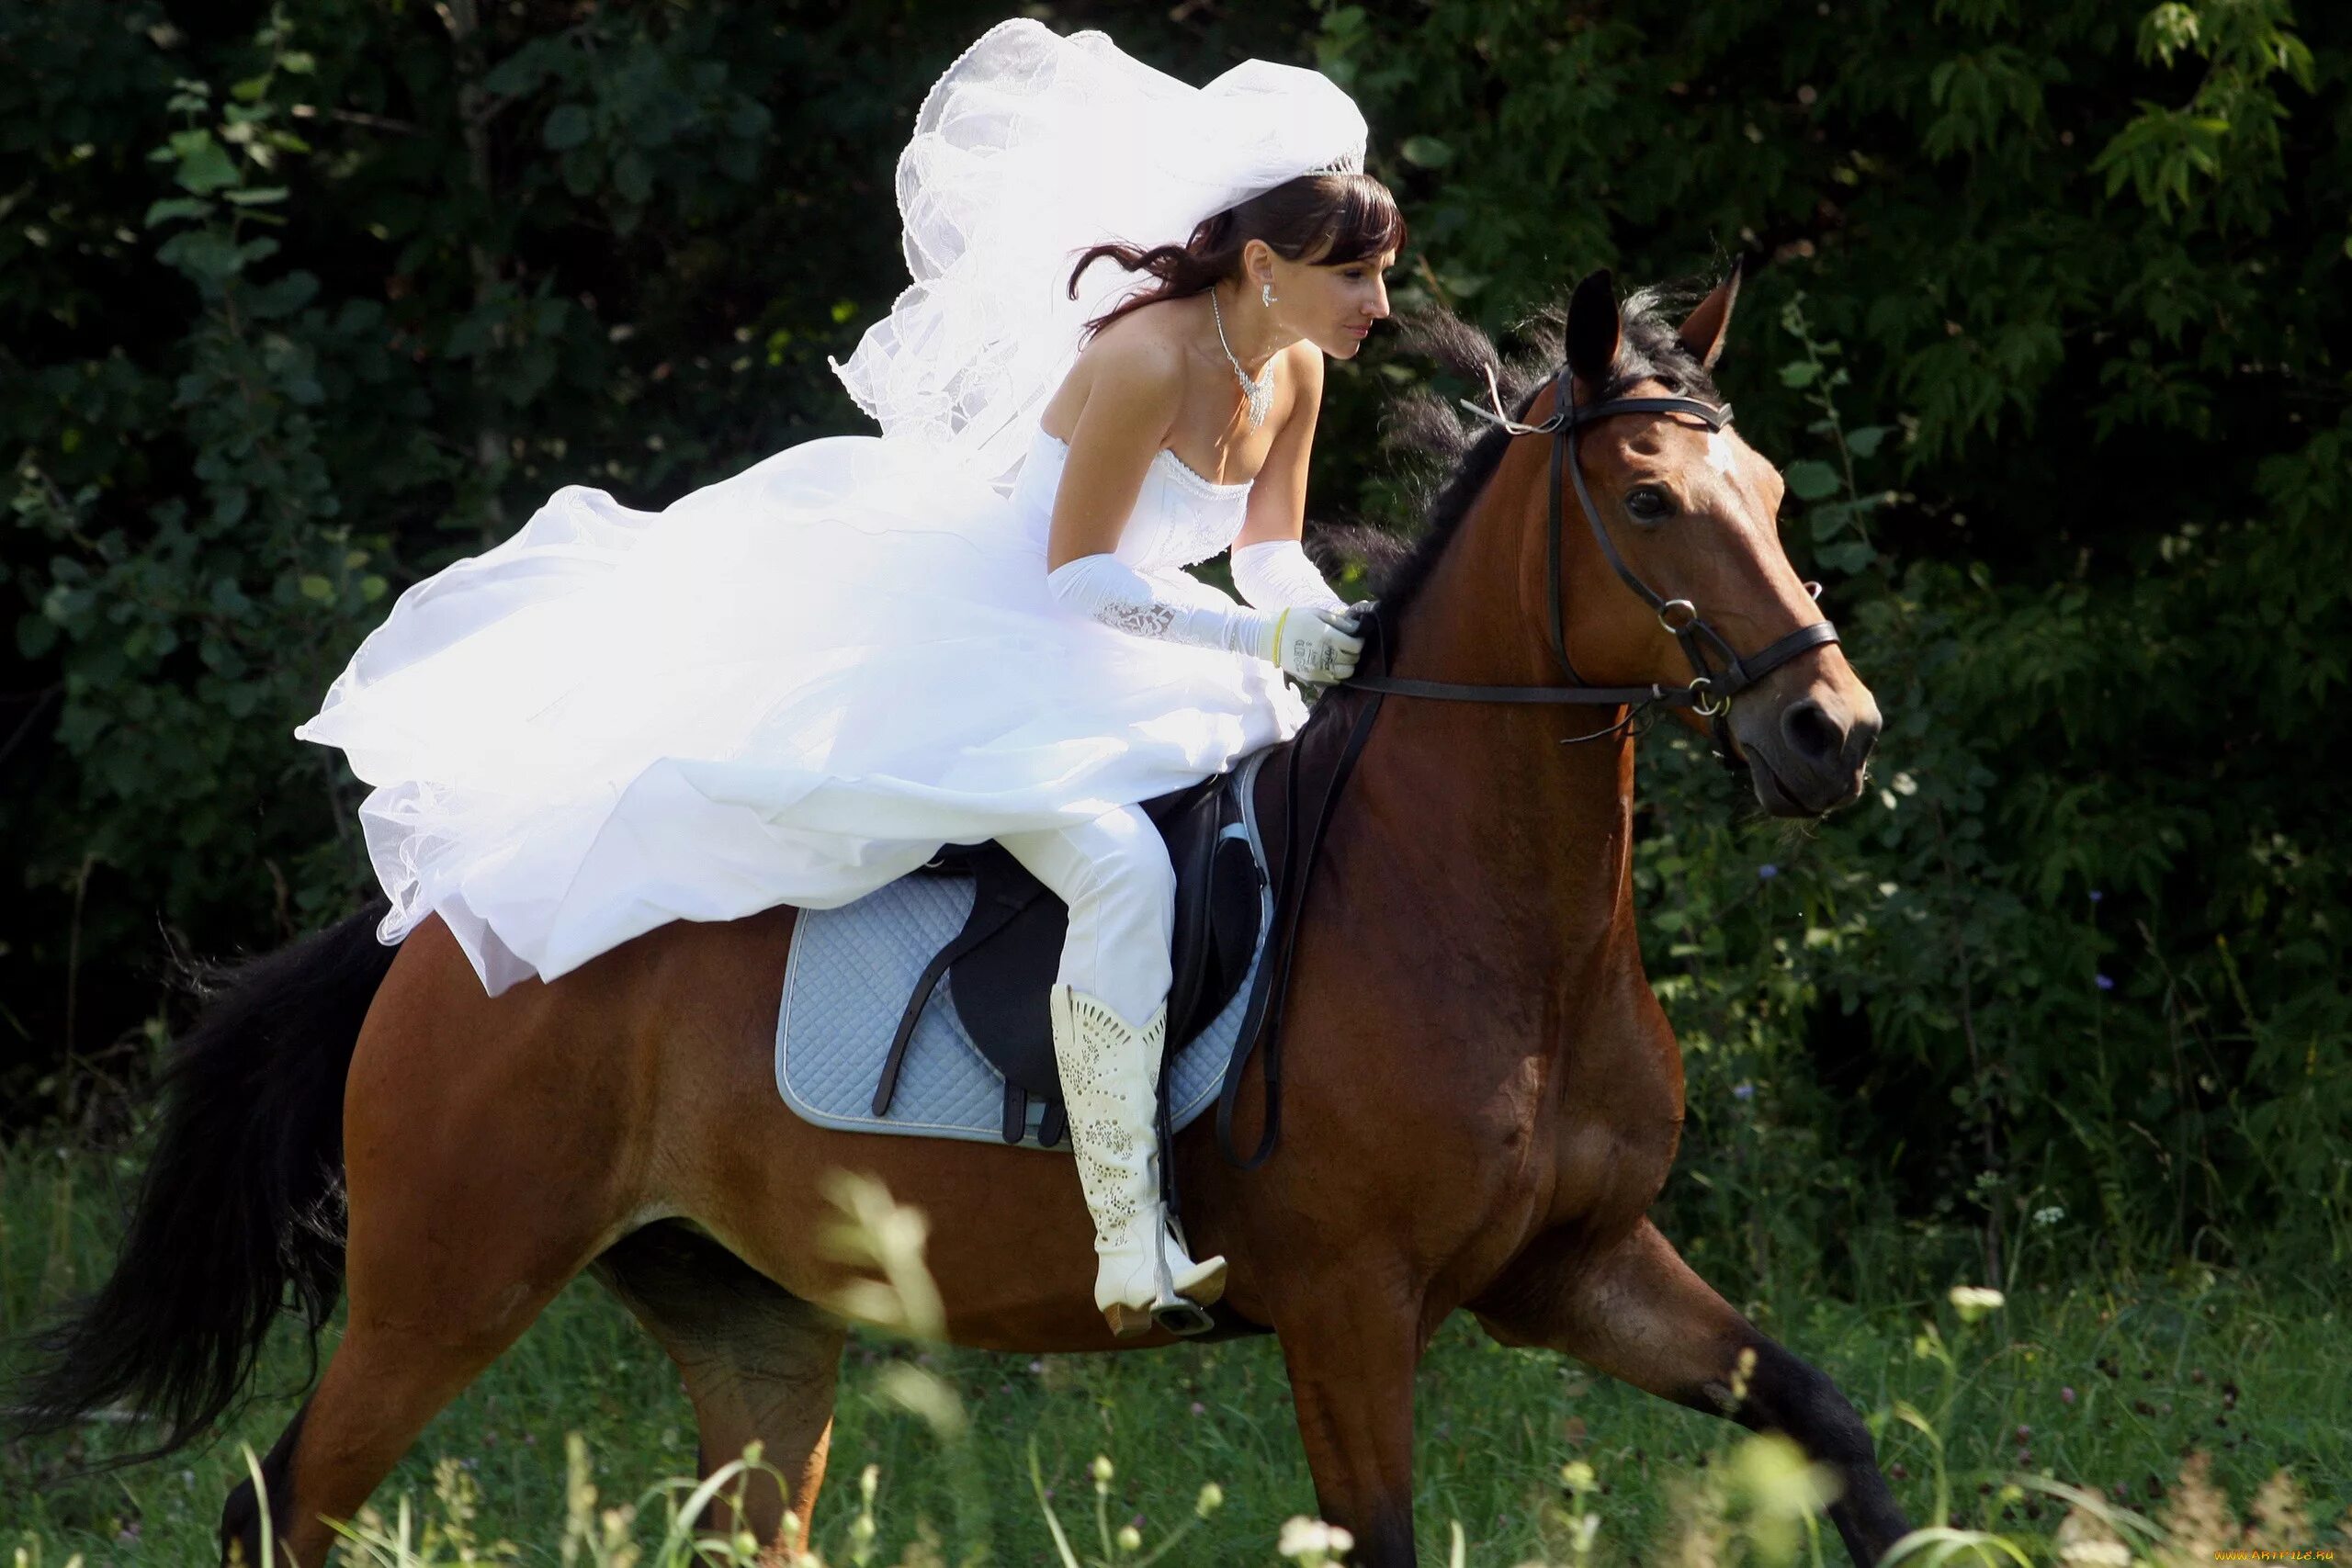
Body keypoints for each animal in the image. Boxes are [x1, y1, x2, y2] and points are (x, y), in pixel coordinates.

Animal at [9, 270, 1909, 1568]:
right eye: (1652, 503)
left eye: (1777, 499)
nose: (1834, 734)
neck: (1495, 924)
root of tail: (445, 937)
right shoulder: (1355, 1308)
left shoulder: (1576, 1266)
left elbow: (1828, 1426)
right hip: (445, 1285)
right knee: (280, 1508)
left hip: (747, 1314)